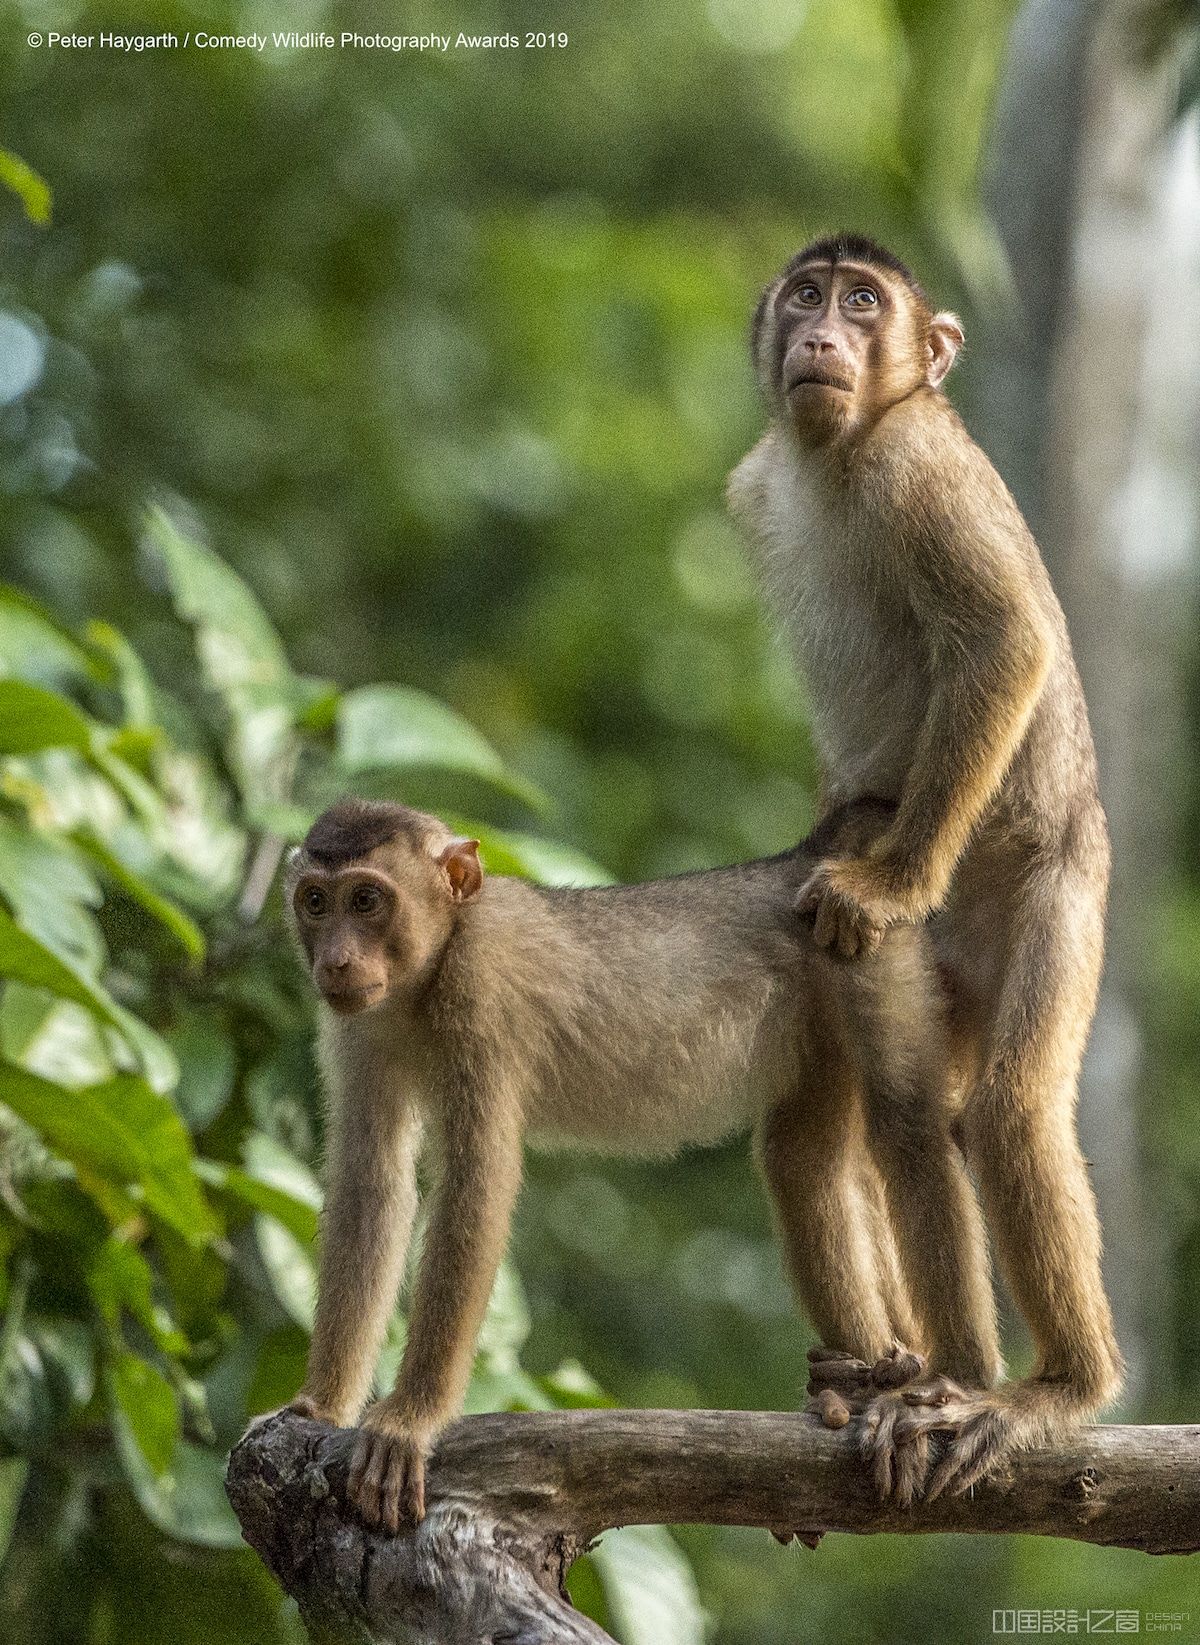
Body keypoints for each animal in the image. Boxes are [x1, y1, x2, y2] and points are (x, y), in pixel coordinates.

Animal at [276, 796, 994, 1526]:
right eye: (316, 902)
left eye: (367, 900)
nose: (335, 959)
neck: (431, 968)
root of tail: (804, 864)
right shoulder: (359, 1024)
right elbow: (373, 1182)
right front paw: (322, 1404)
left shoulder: (481, 995)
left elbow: (477, 1184)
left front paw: (410, 1419)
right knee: (805, 1162)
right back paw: (869, 1379)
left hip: (873, 953)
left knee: (908, 1132)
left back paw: (944, 1385)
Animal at [720, 231, 1125, 1506]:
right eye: (808, 294)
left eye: (865, 302)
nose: (824, 337)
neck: (836, 458)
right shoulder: (757, 484)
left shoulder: (918, 467)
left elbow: (1004, 640)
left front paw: (891, 880)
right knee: (871, 1126)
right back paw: (890, 1370)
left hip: (1057, 890)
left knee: (1003, 1111)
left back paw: (1050, 1390)